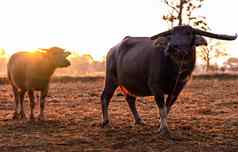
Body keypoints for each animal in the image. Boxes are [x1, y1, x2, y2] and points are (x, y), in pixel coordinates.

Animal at [100, 25, 236, 135]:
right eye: (171, 35)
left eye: (189, 33)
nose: (172, 47)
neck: (175, 70)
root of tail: (112, 50)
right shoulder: (155, 87)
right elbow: (162, 107)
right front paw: (164, 129)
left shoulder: (178, 88)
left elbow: (168, 107)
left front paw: (162, 124)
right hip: (111, 79)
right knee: (105, 96)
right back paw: (105, 121)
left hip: (128, 84)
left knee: (130, 99)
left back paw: (139, 120)